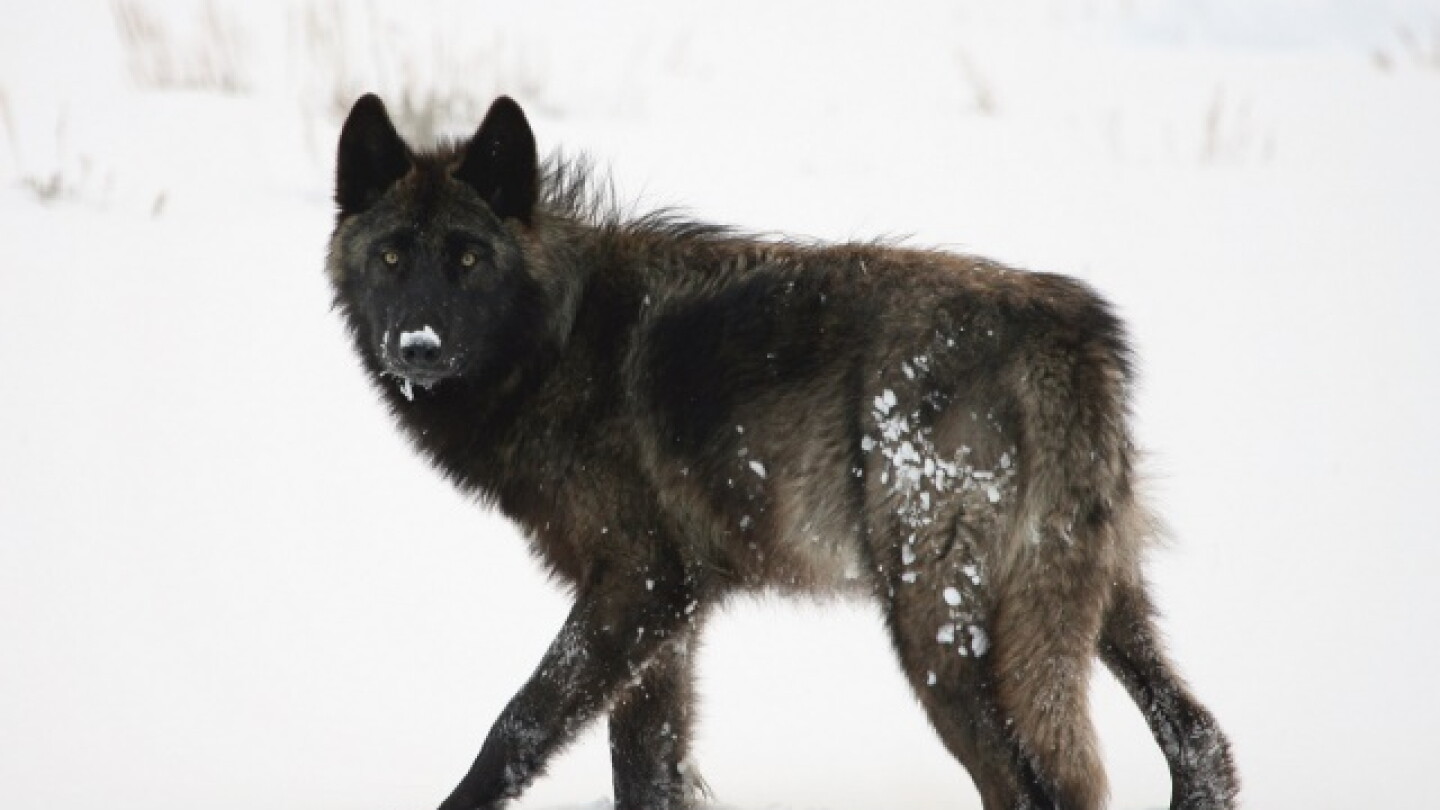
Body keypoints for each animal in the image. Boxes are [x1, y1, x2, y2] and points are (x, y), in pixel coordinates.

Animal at [325, 93, 1238, 810]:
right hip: (1094, 604)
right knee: (1201, 744)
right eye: (392, 256)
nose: (417, 345)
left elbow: (514, 730)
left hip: (936, 631)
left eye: (469, 259)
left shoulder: (635, 587)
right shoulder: (667, 619)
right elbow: (646, 773)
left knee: (1024, 785)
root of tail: (1069, 331)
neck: (557, 339)